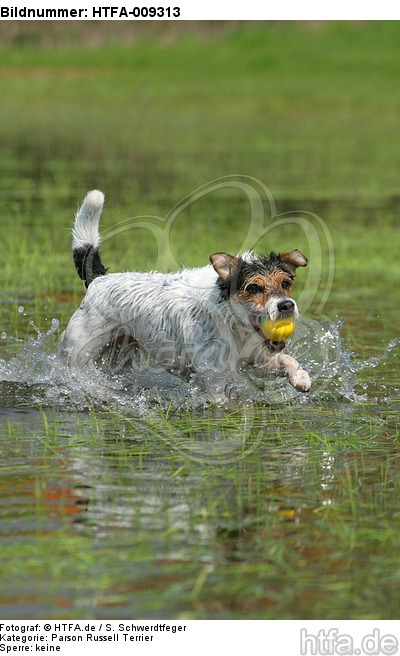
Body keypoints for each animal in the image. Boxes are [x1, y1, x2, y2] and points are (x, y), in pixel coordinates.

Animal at [57, 192, 310, 392]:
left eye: (286, 283)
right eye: (254, 287)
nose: (286, 305)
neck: (231, 324)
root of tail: (99, 279)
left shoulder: (258, 358)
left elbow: (286, 359)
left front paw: (300, 377)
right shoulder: (214, 376)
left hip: (120, 354)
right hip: (77, 352)